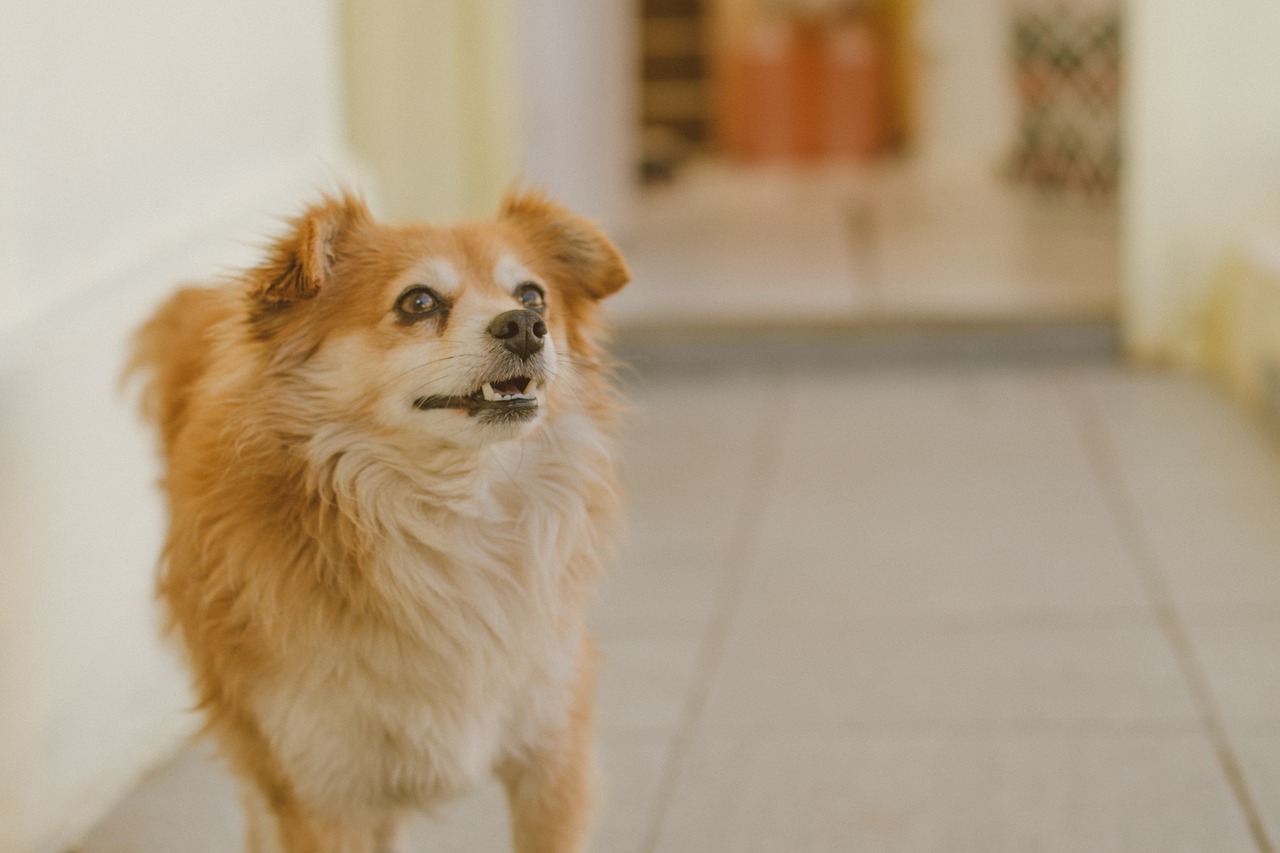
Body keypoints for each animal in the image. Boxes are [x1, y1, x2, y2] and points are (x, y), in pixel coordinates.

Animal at [129, 192, 629, 850]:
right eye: (418, 302)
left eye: (532, 295)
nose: (524, 325)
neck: (449, 514)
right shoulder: (321, 790)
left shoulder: (552, 758)